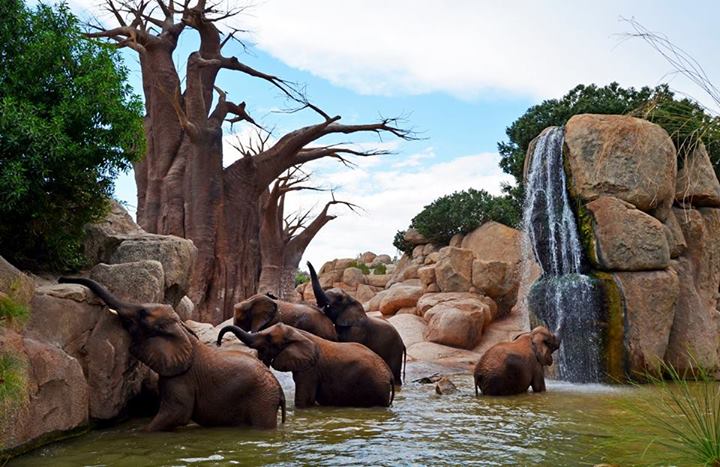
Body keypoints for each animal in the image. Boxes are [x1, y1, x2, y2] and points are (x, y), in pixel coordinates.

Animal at [59, 277, 286, 431]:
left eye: (142, 314)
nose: (62, 278)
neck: (183, 332)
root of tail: (280, 391)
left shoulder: (181, 377)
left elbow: (177, 413)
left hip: (262, 401)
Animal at [218, 323, 394, 408]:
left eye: (269, 339)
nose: (218, 343)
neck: (298, 333)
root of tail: (390, 374)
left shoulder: (310, 370)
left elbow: (304, 400)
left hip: (376, 387)